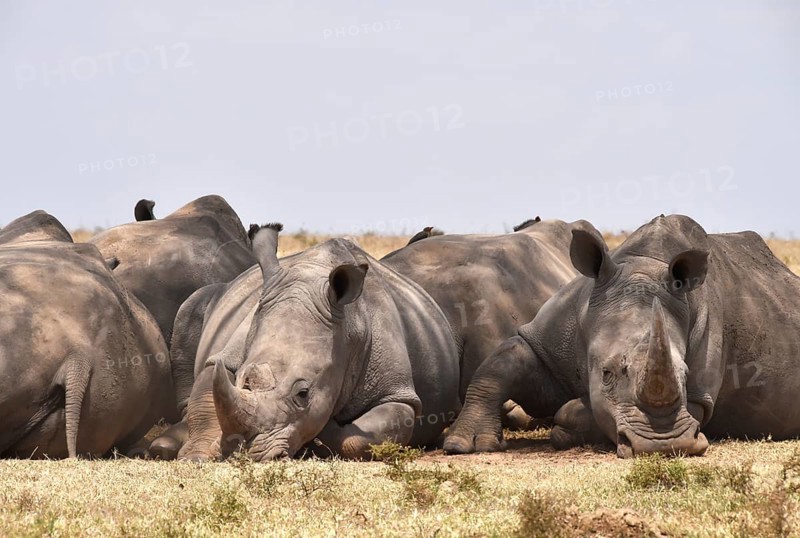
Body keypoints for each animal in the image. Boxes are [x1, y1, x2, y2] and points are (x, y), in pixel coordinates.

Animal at [150, 224, 460, 461]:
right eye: (244, 379)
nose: (245, 450)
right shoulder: (227, 354)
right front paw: (196, 456)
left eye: (303, 394)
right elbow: (207, 396)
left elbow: (373, 434)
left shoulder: (397, 392)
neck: (349, 328)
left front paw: (323, 433)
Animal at [444, 214, 800, 457]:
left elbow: (586, 411)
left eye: (685, 375)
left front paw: (565, 427)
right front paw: (464, 444)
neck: (642, 268)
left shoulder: (700, 395)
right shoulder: (547, 339)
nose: (664, 445)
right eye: (606, 373)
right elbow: (499, 367)